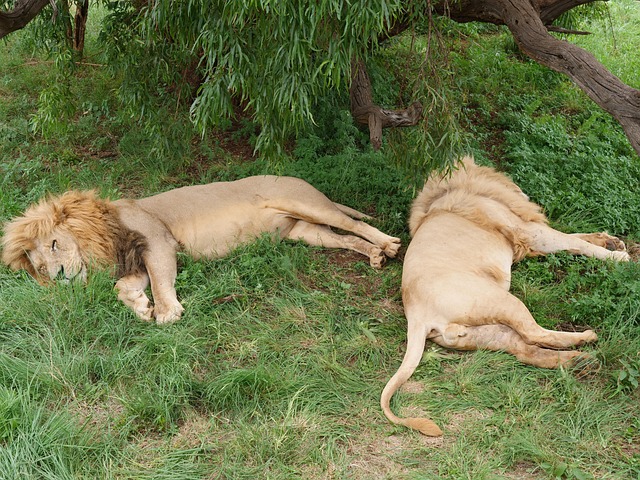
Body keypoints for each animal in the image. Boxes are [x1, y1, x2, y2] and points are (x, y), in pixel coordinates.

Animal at [2, 175, 401, 324]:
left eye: (54, 244)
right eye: (40, 266)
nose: (59, 277)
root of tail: (299, 178)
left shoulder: (158, 241)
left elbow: (162, 283)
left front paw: (166, 312)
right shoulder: (135, 265)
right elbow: (122, 287)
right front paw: (141, 307)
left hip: (305, 203)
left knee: (354, 224)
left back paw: (389, 245)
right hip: (303, 232)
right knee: (345, 238)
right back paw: (375, 255)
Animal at [381, 156, 630, 436]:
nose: (523, 191)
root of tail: (417, 315)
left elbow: (575, 237)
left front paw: (610, 241)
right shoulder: (527, 231)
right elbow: (576, 243)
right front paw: (619, 256)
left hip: (487, 333)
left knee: (526, 351)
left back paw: (583, 362)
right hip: (501, 300)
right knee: (535, 334)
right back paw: (587, 339)